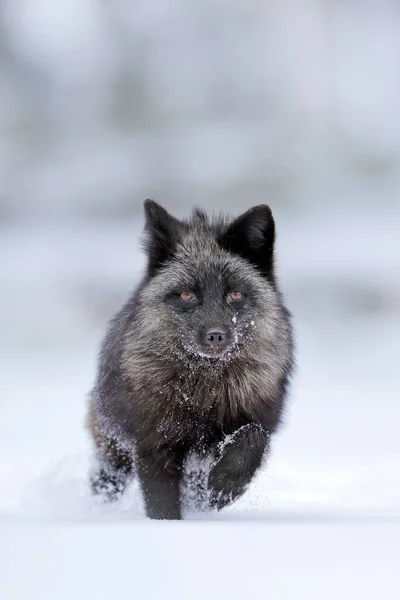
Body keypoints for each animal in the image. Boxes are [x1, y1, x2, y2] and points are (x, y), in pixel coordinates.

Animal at [86, 199, 294, 516]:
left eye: (235, 294)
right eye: (186, 294)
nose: (215, 335)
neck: (204, 390)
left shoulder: (260, 417)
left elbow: (253, 436)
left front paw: (224, 486)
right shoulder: (153, 445)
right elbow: (162, 506)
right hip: (114, 449)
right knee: (106, 480)